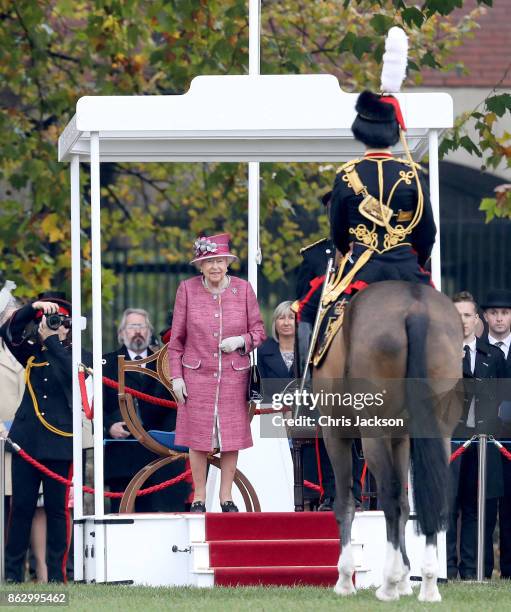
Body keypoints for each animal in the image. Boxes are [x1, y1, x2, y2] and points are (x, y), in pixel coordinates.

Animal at [314, 280, 466, 604]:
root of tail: (416, 306)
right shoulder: (402, 439)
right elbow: (407, 503)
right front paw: (407, 578)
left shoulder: (336, 433)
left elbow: (346, 503)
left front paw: (346, 579)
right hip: (438, 431)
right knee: (430, 499)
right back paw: (429, 585)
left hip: (373, 434)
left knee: (388, 498)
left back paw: (387, 585)